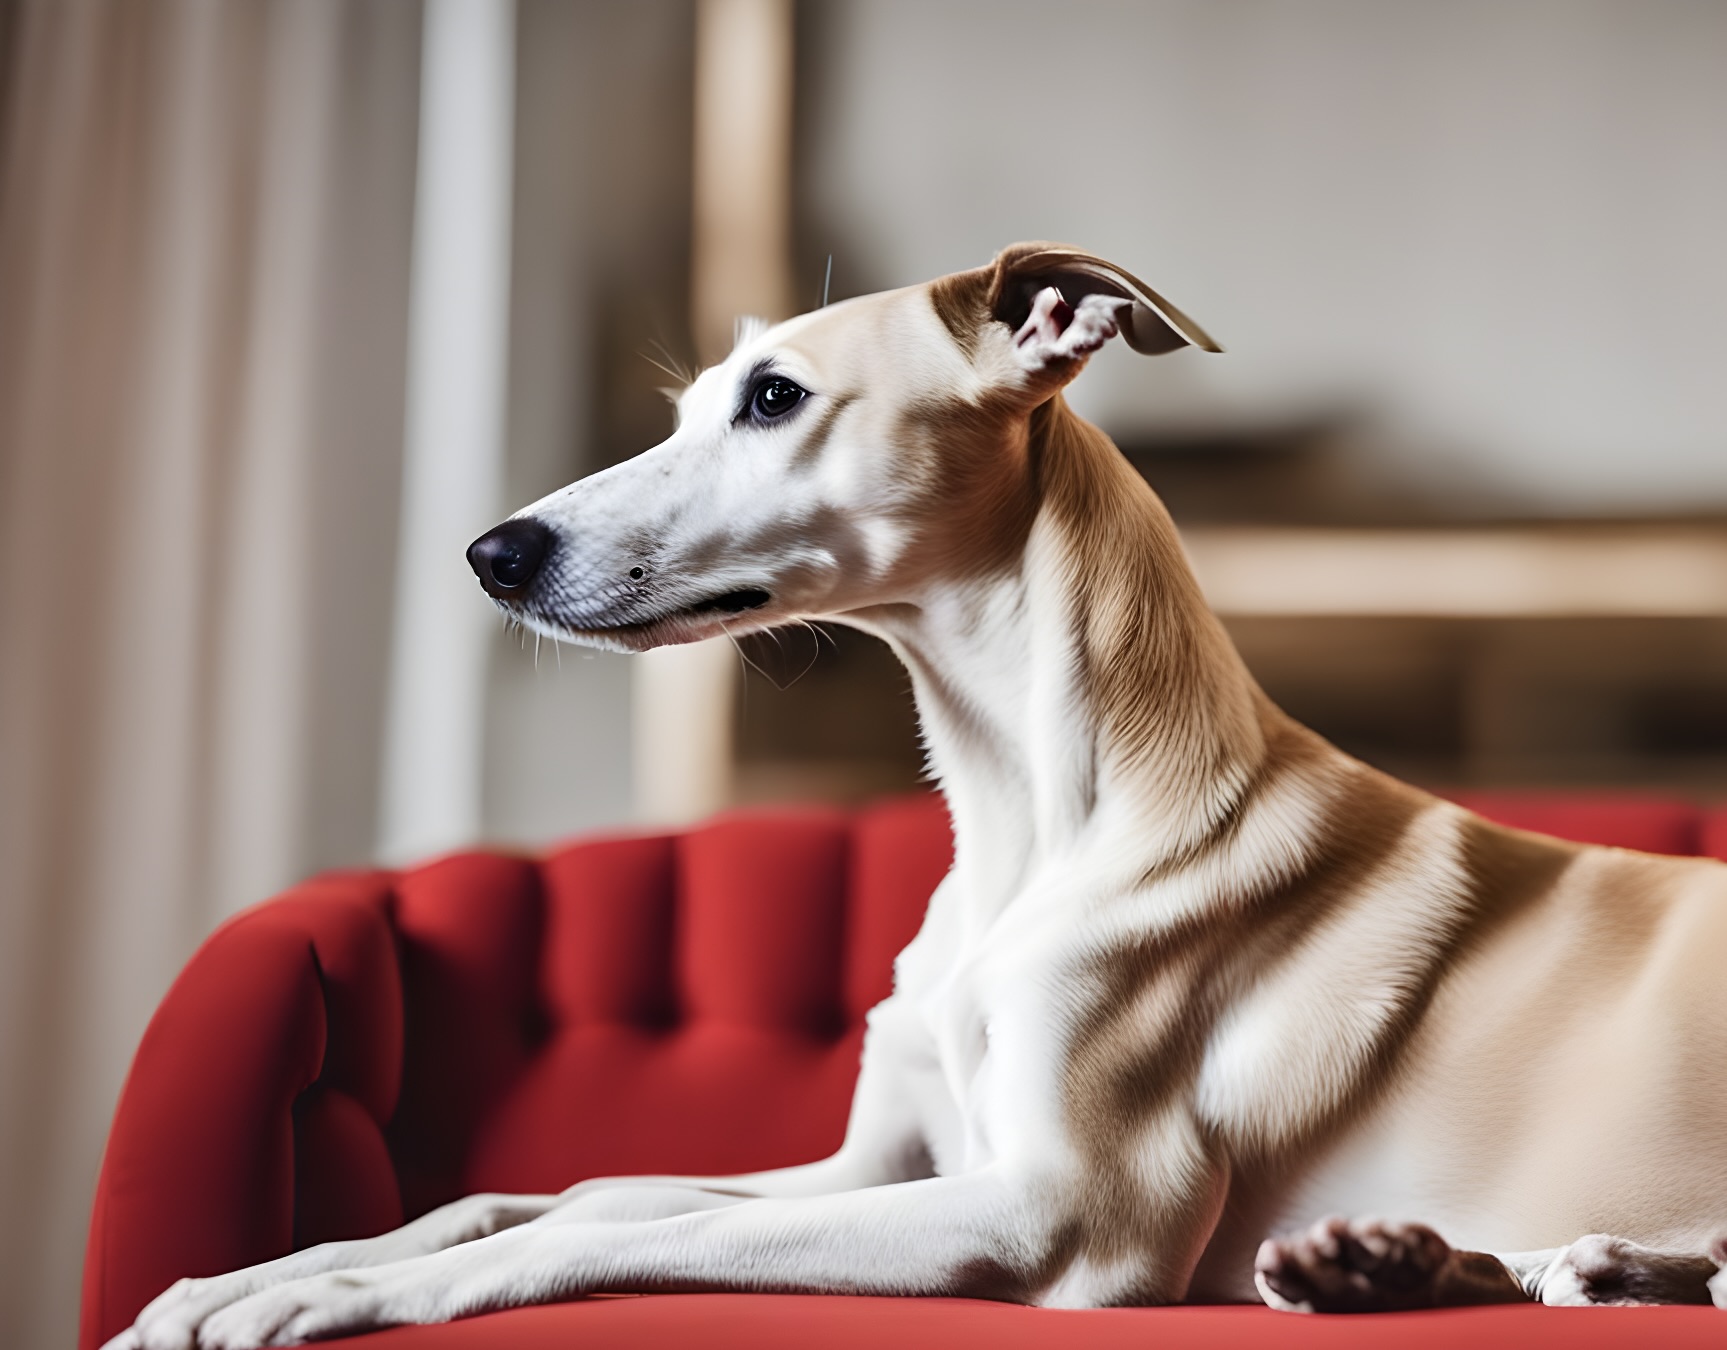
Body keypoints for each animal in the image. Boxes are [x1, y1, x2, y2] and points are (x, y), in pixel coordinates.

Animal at [114, 245, 1720, 1350]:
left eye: (774, 400)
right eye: (691, 407)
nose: (490, 555)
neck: (1038, 819)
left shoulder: (1063, 1212)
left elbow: (566, 1235)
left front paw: (332, 1296)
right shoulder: (871, 1161)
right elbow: (570, 1194)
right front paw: (249, 1272)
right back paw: (1448, 1265)